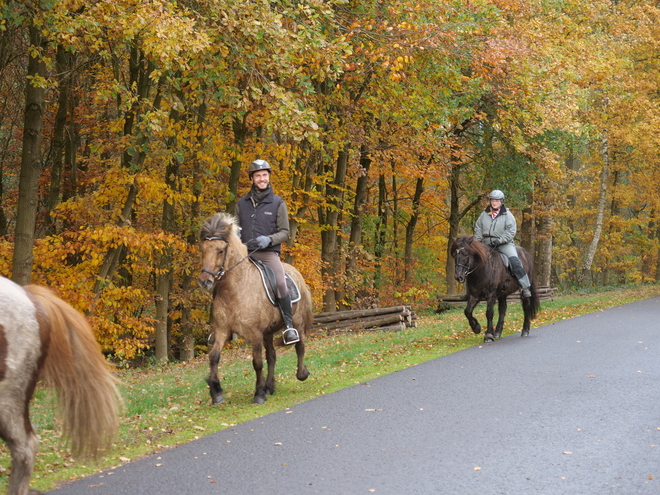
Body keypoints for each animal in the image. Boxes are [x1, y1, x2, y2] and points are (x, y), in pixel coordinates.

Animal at [197, 213, 314, 406]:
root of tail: (295, 272)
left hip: (296, 321)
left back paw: (301, 374)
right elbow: (214, 356)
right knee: (272, 356)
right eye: (203, 249)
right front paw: (216, 392)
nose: (204, 281)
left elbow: (257, 363)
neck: (235, 289)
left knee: (300, 345)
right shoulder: (222, 330)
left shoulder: (255, 333)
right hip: (268, 332)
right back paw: (270, 387)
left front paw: (258, 394)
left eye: (220, 250)